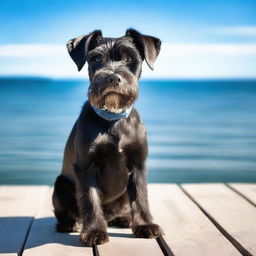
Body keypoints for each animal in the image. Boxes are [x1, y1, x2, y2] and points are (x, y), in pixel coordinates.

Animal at [52, 28, 164, 246]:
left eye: (130, 58)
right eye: (96, 58)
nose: (112, 78)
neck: (113, 118)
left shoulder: (138, 163)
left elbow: (140, 196)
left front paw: (145, 225)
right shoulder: (86, 166)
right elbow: (90, 200)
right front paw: (94, 231)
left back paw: (123, 219)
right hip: (60, 184)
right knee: (64, 212)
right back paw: (69, 224)